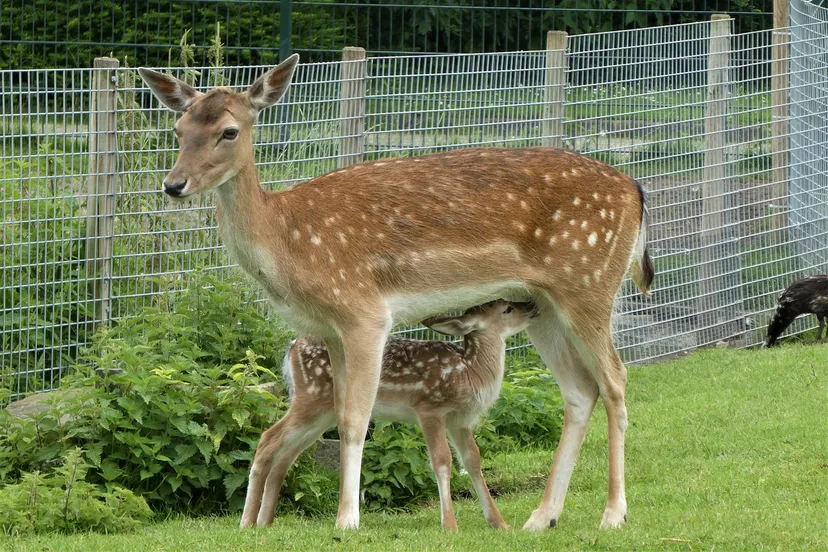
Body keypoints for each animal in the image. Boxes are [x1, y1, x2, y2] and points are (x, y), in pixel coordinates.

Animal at [241, 299, 539, 531]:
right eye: (507, 308)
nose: (533, 305)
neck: (469, 371)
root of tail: (292, 346)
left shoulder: (460, 421)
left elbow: (473, 462)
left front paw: (499, 523)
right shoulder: (429, 408)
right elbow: (442, 461)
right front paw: (450, 526)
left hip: (322, 413)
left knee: (286, 455)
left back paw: (264, 521)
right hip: (311, 397)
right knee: (268, 438)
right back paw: (247, 522)